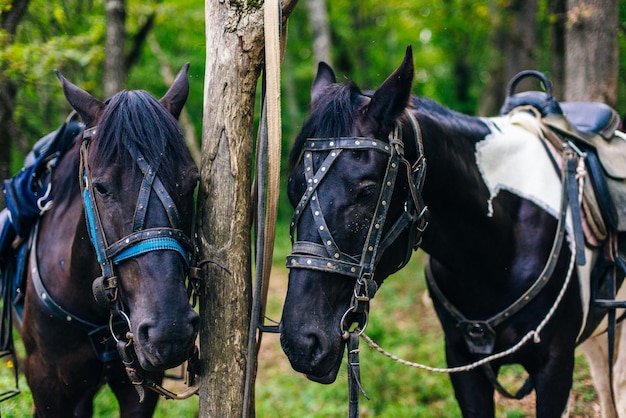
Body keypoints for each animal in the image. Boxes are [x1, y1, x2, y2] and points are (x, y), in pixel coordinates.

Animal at [280, 45, 624, 414]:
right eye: (292, 188)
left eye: (367, 191)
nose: (301, 342)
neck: (496, 250)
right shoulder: (463, 364)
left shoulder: (555, 365)